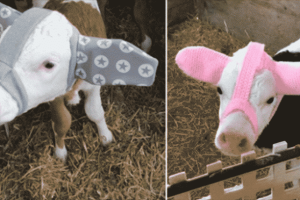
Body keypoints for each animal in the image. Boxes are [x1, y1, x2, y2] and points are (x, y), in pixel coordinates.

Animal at [0, 1, 158, 162]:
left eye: (49, 64)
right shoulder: (54, 96)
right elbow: (62, 122)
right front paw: (60, 153)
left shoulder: (93, 85)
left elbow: (95, 111)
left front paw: (105, 137)